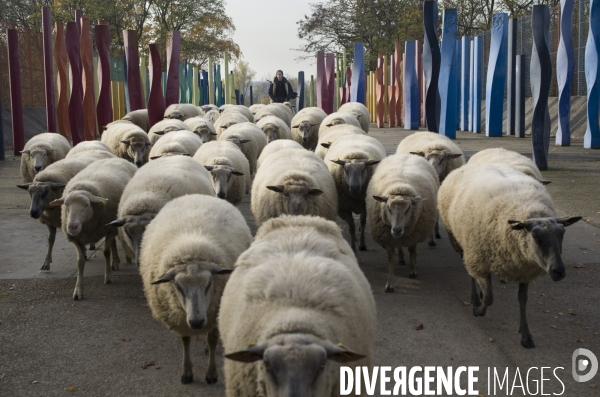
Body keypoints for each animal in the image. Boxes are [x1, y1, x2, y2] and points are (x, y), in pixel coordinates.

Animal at [48, 156, 137, 298]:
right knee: (113, 243)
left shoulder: (109, 229)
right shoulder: (77, 239)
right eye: (66, 204)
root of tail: (116, 157)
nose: (72, 227)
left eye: (86, 204)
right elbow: (80, 262)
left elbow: (106, 252)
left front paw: (108, 277)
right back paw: (115, 262)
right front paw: (78, 290)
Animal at [141, 194, 253, 384]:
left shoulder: (214, 311)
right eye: (178, 286)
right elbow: (185, 341)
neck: (191, 249)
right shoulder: (181, 318)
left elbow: (213, 339)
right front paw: (186, 372)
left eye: (209, 284)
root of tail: (197, 195)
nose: (196, 321)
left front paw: (211, 373)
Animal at [364, 153, 438, 290]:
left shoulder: (414, 235)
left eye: (408, 208)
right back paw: (402, 257)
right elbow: (391, 258)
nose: (397, 229)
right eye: (388, 207)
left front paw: (413, 271)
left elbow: (412, 250)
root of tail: (405, 154)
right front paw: (390, 284)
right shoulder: (388, 239)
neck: (400, 186)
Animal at [438, 162, 584, 346]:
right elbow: (489, 298)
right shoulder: (480, 262)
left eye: (562, 233)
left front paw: (525, 335)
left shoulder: (525, 270)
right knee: (471, 273)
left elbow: (523, 299)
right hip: (465, 246)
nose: (559, 271)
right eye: (536, 237)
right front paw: (478, 311)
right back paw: (475, 298)